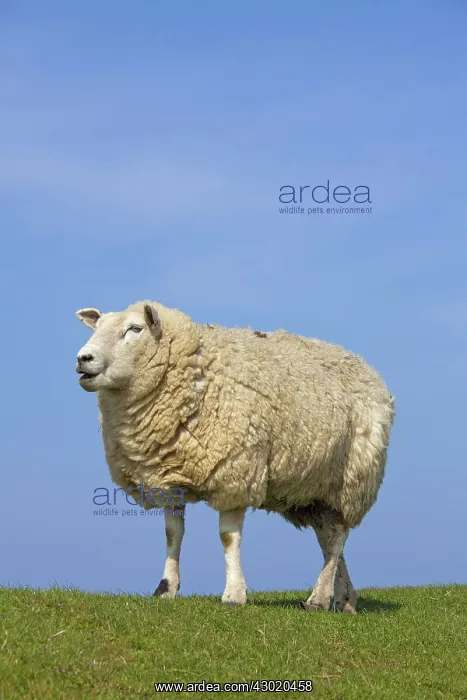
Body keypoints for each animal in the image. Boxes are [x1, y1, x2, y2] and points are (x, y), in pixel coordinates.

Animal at [76, 300, 395, 612]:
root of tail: (366, 368)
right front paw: (166, 589)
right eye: (97, 327)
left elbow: (228, 538)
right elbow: (172, 534)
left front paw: (234, 594)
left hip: (352, 478)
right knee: (329, 538)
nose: (83, 358)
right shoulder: (171, 476)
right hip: (313, 490)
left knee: (338, 535)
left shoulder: (235, 472)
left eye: (135, 329)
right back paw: (344, 598)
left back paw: (319, 597)